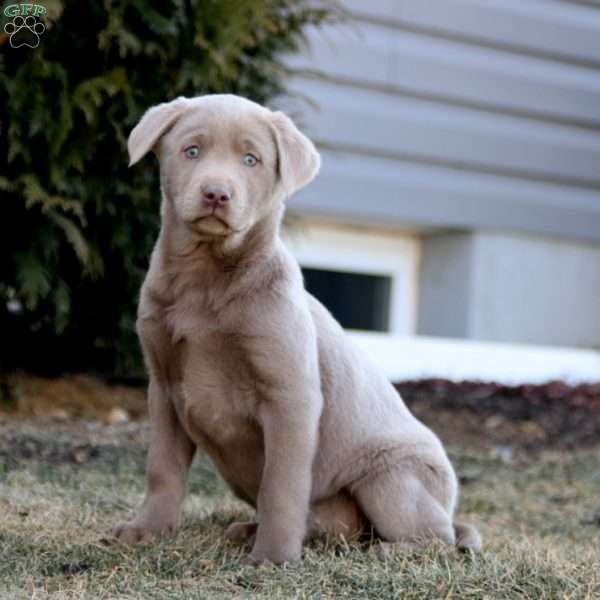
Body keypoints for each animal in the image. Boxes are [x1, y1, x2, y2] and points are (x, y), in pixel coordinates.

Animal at [112, 92, 480, 564]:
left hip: (393, 477)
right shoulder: (163, 386)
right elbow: (162, 468)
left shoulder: (290, 395)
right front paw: (147, 531)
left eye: (251, 159)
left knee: (437, 538)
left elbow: (280, 484)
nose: (216, 193)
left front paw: (273, 557)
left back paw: (383, 551)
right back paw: (255, 531)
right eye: (191, 151)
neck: (206, 277)